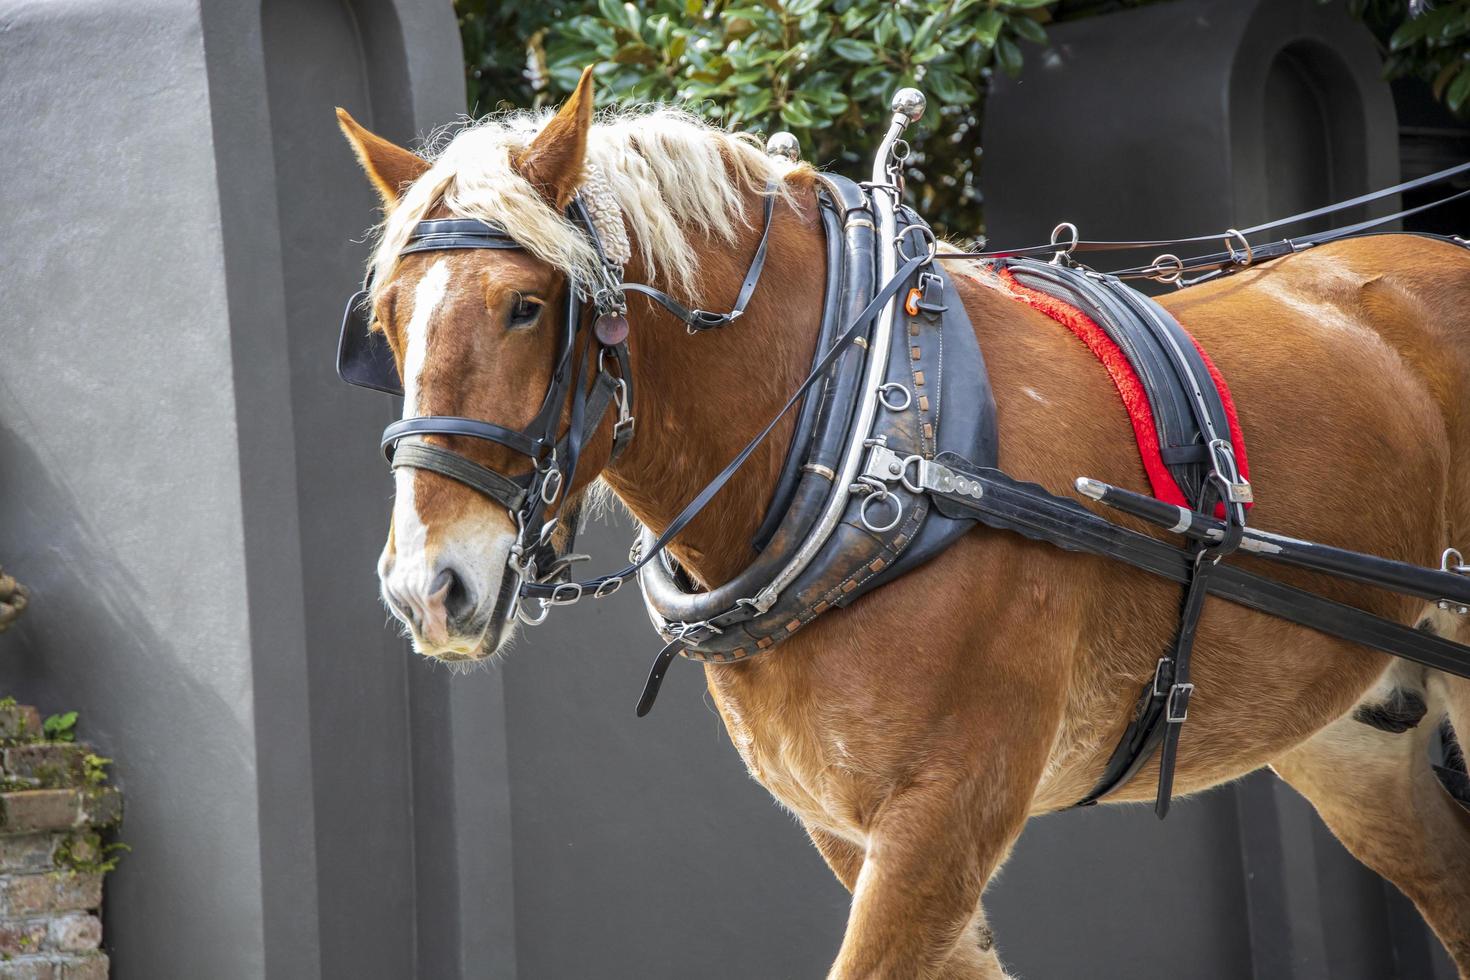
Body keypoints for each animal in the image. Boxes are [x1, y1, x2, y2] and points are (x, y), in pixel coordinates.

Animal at [338, 70, 1470, 980]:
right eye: (386, 320)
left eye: (527, 306)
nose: (425, 587)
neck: (876, 431)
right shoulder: (852, 828)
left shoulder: (949, 807)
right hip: (1350, 734)